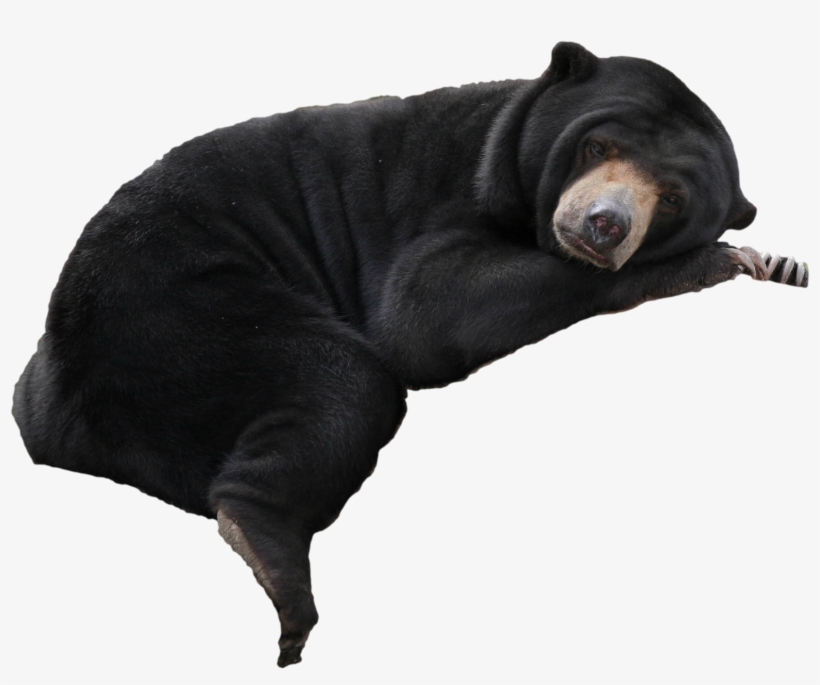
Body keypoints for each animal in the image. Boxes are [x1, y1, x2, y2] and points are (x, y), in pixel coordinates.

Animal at [12, 42, 784, 667]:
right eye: (597, 148)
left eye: (673, 197)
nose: (603, 225)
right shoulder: (438, 200)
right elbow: (423, 311)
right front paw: (716, 261)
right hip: (175, 308)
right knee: (346, 382)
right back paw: (275, 565)